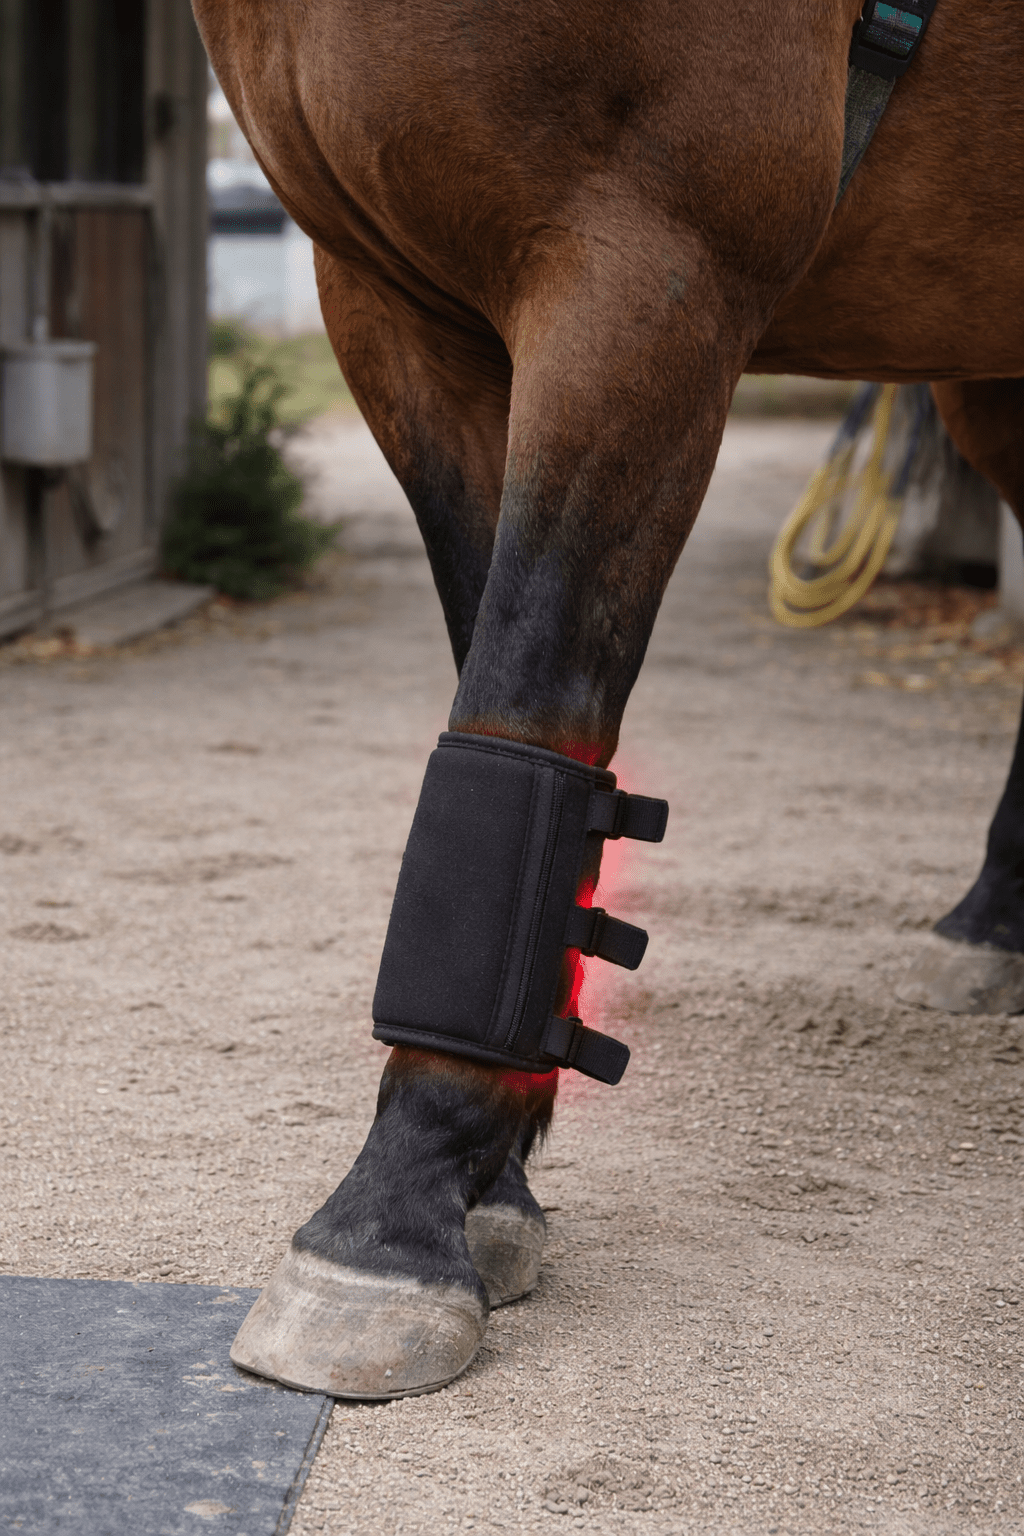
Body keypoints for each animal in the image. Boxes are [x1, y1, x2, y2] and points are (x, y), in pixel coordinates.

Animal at [191, 0, 1024, 1396]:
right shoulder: (391, 304)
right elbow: (498, 673)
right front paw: (493, 1170)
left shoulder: (641, 266)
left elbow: (527, 681)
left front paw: (394, 1210)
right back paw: (993, 921)